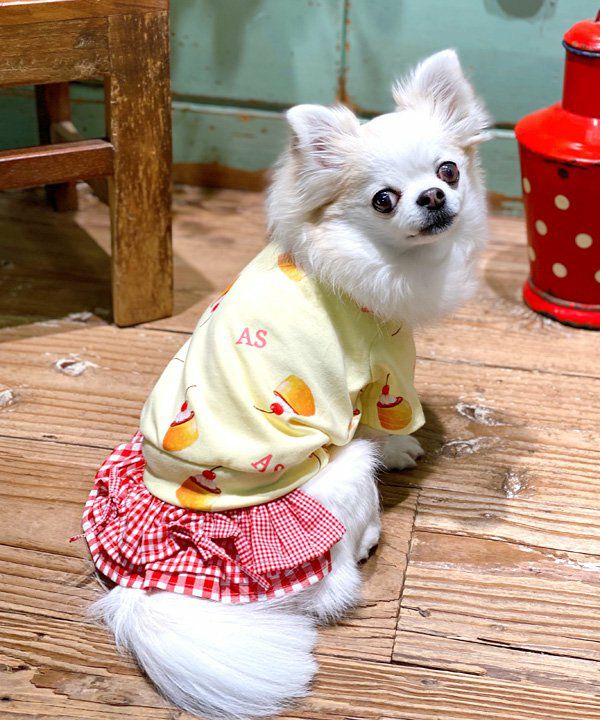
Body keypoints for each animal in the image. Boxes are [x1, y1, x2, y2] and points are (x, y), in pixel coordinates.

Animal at [89, 49, 489, 719]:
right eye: (384, 200)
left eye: (448, 170)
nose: (433, 196)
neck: (377, 259)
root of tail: (155, 583)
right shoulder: (385, 365)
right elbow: (388, 419)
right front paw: (404, 448)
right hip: (343, 473)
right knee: (333, 578)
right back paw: (368, 538)